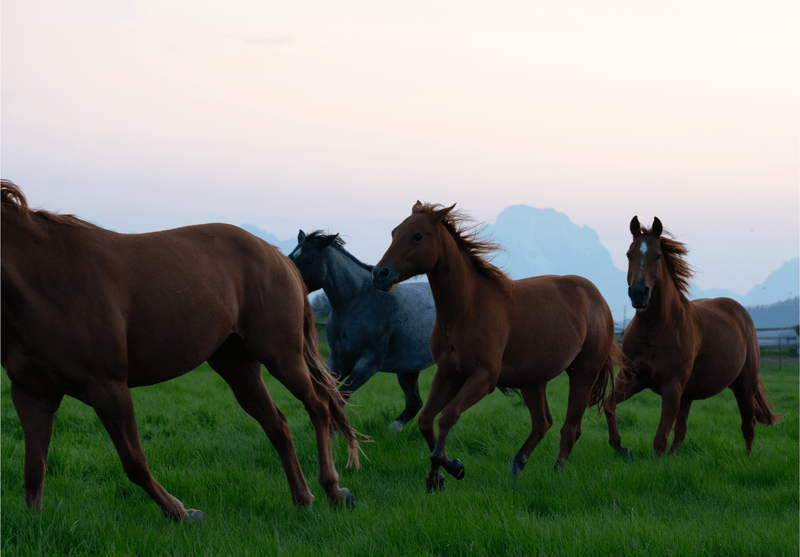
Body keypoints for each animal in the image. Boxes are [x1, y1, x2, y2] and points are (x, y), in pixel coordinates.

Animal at [0, 180, 358, 520]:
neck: (50, 277)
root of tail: (278, 256)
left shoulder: (107, 386)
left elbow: (134, 462)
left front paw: (181, 512)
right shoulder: (32, 394)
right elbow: (34, 469)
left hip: (282, 356)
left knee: (319, 406)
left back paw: (332, 488)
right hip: (238, 367)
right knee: (278, 426)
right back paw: (303, 498)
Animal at [372, 202, 620, 488]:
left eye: (417, 236)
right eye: (394, 232)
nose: (379, 274)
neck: (467, 308)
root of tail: (597, 298)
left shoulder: (483, 378)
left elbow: (447, 416)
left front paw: (447, 468)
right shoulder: (448, 375)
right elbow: (425, 420)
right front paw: (443, 473)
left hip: (583, 374)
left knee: (570, 428)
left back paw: (555, 473)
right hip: (532, 381)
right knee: (542, 422)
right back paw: (517, 465)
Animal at [608, 216, 780, 456]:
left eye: (657, 255)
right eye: (628, 254)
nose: (639, 293)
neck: (655, 331)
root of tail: (740, 312)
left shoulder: (672, 387)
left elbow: (659, 439)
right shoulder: (632, 379)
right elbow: (609, 405)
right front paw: (621, 447)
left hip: (745, 386)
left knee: (749, 425)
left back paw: (747, 459)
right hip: (688, 394)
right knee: (681, 431)